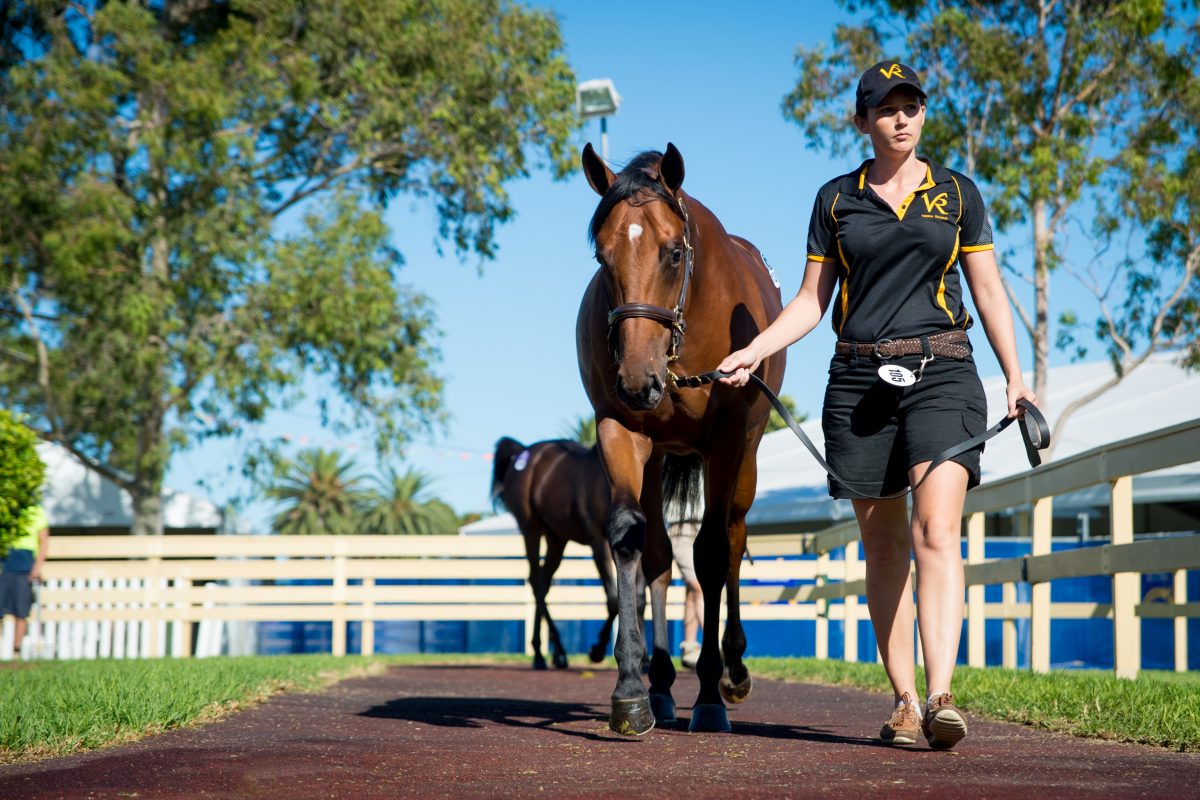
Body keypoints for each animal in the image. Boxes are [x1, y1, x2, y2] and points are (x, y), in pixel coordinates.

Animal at [491, 436, 641, 670]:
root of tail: (523, 451)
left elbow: (639, 599)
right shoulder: (598, 541)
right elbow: (614, 597)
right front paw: (597, 651)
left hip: (556, 538)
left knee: (543, 582)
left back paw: (555, 653)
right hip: (531, 529)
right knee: (536, 580)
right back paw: (541, 655)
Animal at [577, 143, 785, 734]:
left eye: (673, 253)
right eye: (601, 256)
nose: (635, 379)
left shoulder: (727, 438)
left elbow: (712, 553)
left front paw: (711, 694)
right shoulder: (620, 429)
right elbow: (632, 541)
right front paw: (632, 690)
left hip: (747, 459)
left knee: (733, 539)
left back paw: (732, 671)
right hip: (657, 456)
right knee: (661, 557)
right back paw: (664, 684)